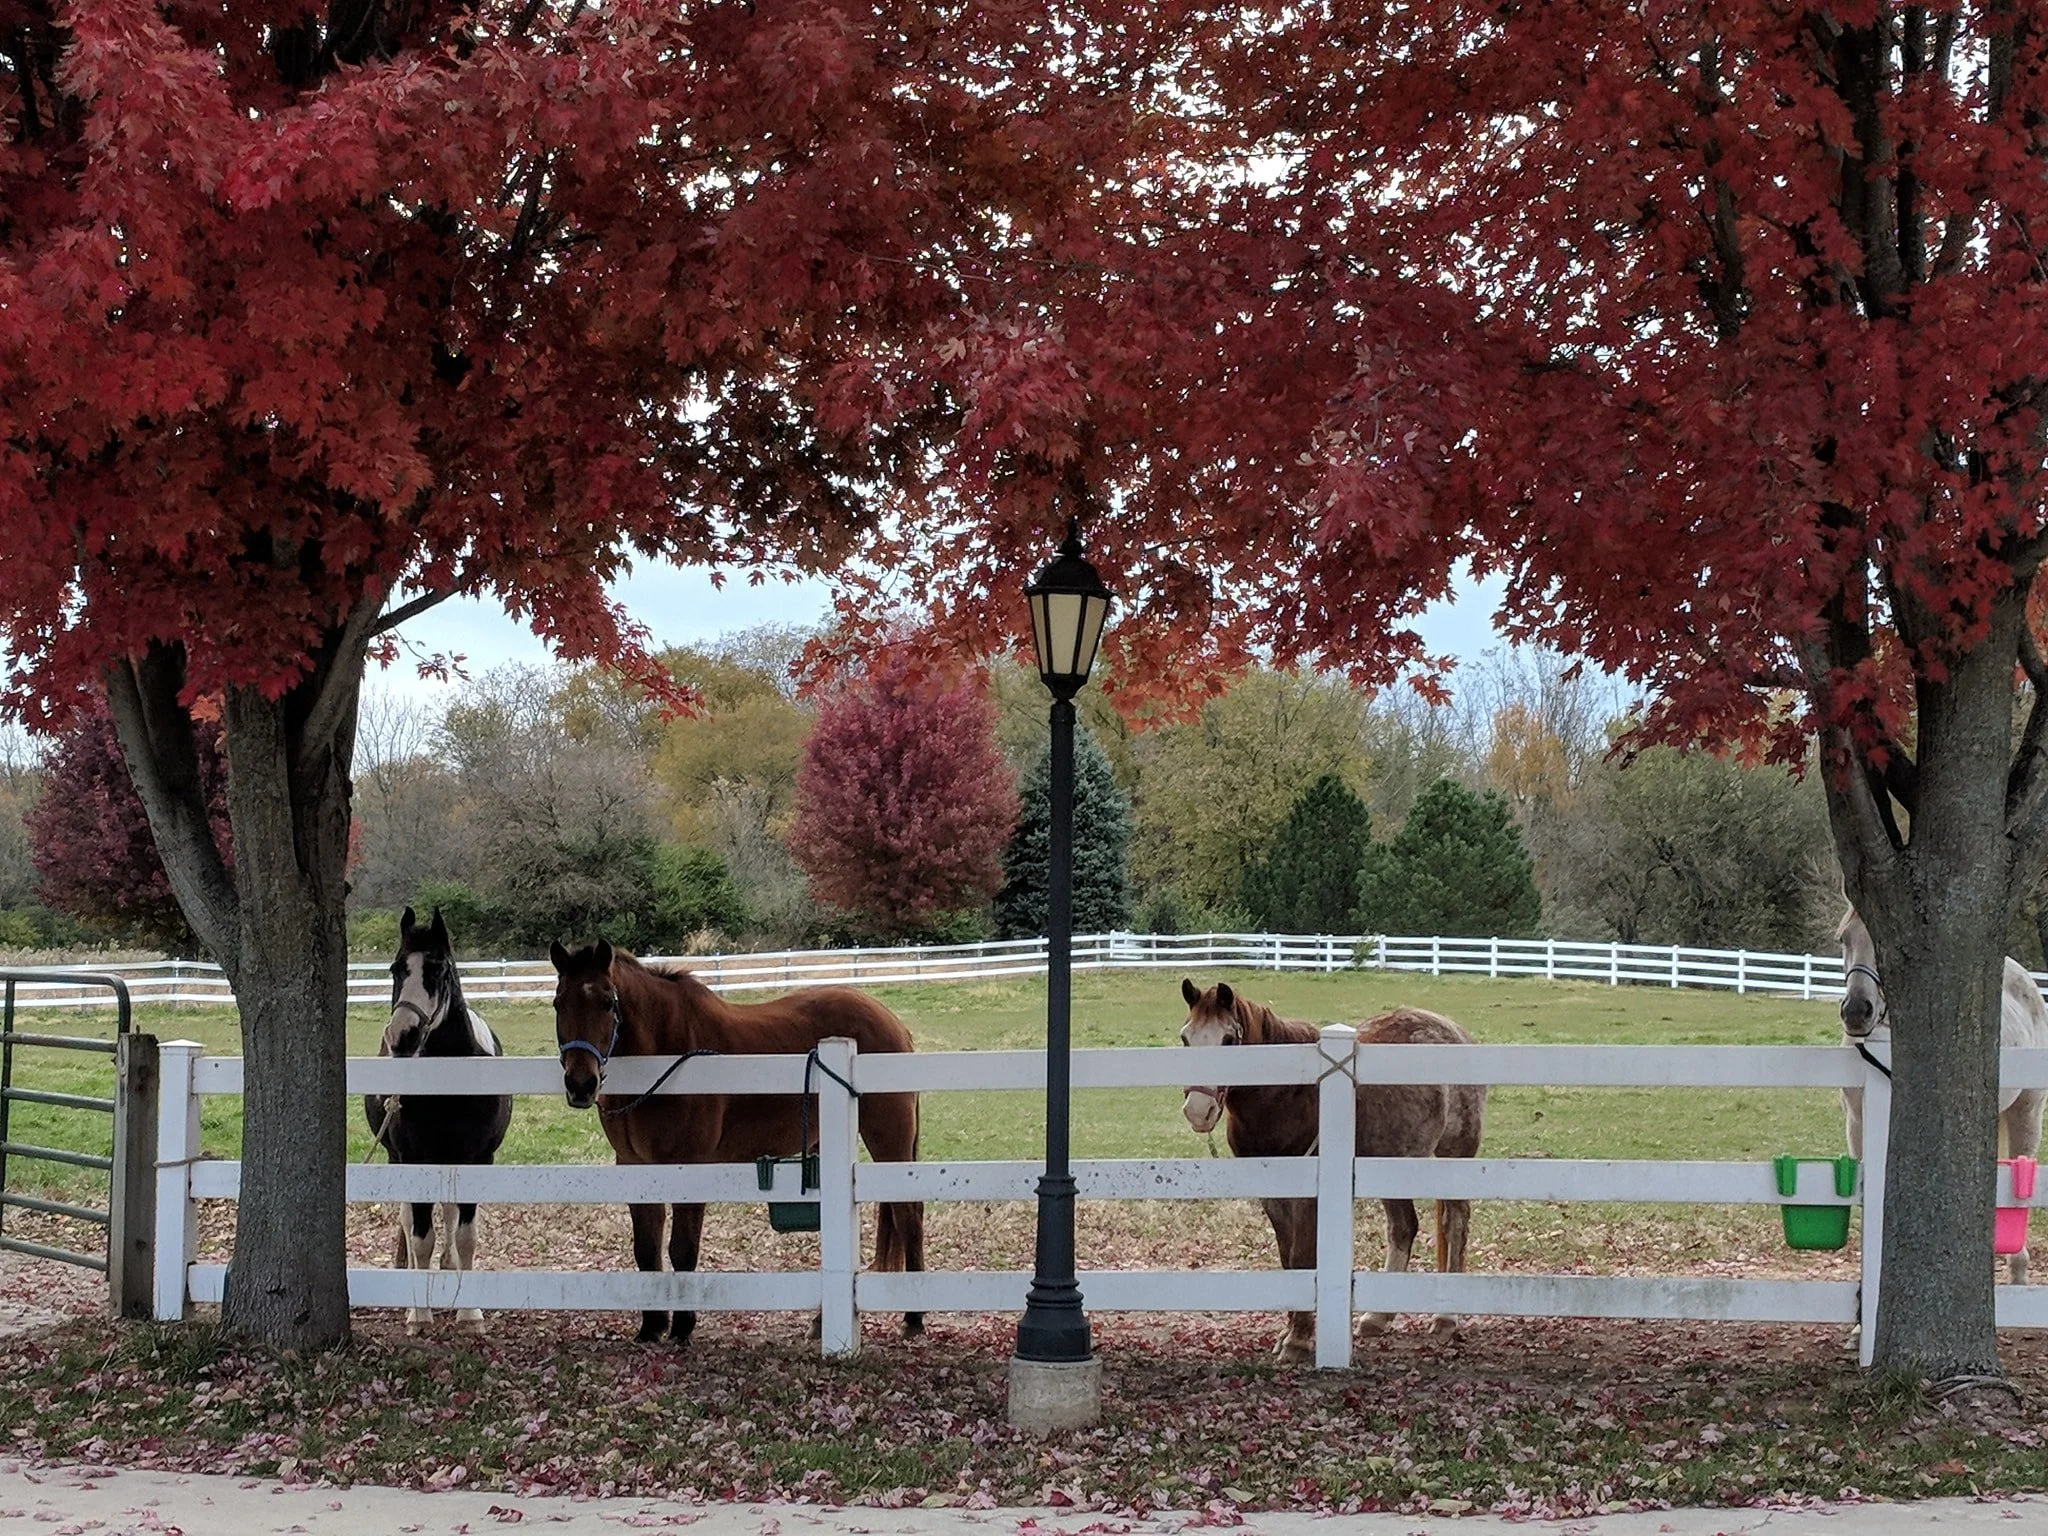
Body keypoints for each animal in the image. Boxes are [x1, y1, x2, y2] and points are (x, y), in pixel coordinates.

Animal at [364, 906, 514, 1334]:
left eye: (439, 970)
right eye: (396, 969)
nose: (402, 1037)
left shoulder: (478, 1158)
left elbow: (466, 1234)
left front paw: (471, 1313)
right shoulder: (413, 1157)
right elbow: (420, 1237)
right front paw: (419, 1313)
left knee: (448, 1212)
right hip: (400, 1158)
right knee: (410, 1219)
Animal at [549, 937, 927, 1346]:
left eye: (606, 1002)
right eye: (558, 1003)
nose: (581, 1084)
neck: (668, 1056)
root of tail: (893, 1022)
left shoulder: (690, 1166)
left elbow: (682, 1250)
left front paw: (682, 1328)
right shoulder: (635, 1167)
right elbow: (646, 1250)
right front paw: (651, 1326)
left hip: (888, 1139)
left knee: (909, 1216)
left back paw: (914, 1318)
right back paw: (823, 1322)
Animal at [1178, 978, 1486, 1363]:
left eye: (1229, 1040)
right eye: (1186, 1038)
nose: (1197, 1111)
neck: (1287, 1094)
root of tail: (1454, 1030)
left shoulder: (1308, 1193)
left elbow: (1303, 1255)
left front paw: (1298, 1340)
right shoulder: (1273, 1194)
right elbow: (1289, 1259)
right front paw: (1288, 1334)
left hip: (1453, 1157)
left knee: (1455, 1222)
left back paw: (1446, 1319)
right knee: (1403, 1227)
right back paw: (1377, 1318)